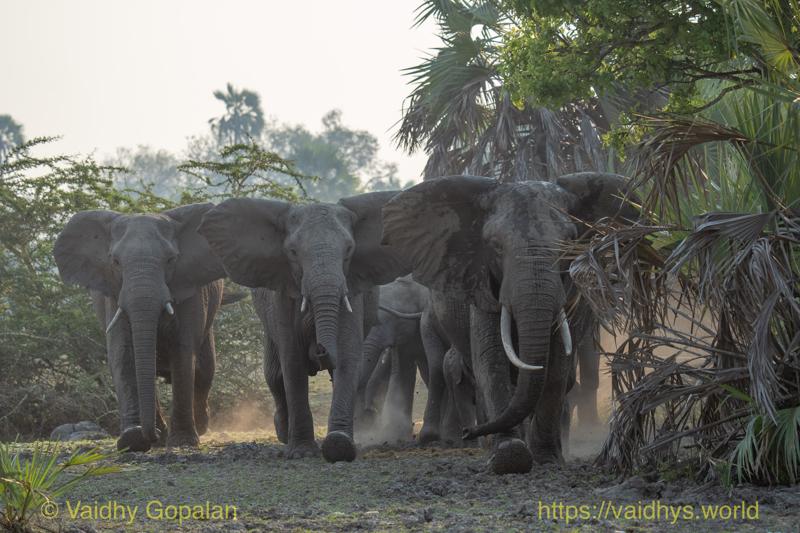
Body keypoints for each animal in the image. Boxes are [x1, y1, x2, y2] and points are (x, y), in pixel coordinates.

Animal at [54, 203, 227, 452]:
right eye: (115, 262)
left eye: (170, 260)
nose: (151, 436)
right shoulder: (113, 294)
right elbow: (123, 353)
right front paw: (132, 439)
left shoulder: (190, 288)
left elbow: (183, 352)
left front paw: (182, 442)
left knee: (205, 369)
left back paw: (199, 427)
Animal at [198, 191, 408, 463]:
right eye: (293, 252)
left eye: (349, 250)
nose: (319, 349)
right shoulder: (282, 295)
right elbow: (292, 362)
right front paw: (301, 452)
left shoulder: (352, 289)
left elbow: (348, 357)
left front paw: (339, 445)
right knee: (274, 373)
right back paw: (282, 433)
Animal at [382, 172, 636, 473]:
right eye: (495, 246)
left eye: (570, 243)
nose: (468, 432)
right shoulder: (480, 283)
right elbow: (492, 359)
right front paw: (509, 456)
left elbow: (557, 365)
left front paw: (547, 458)